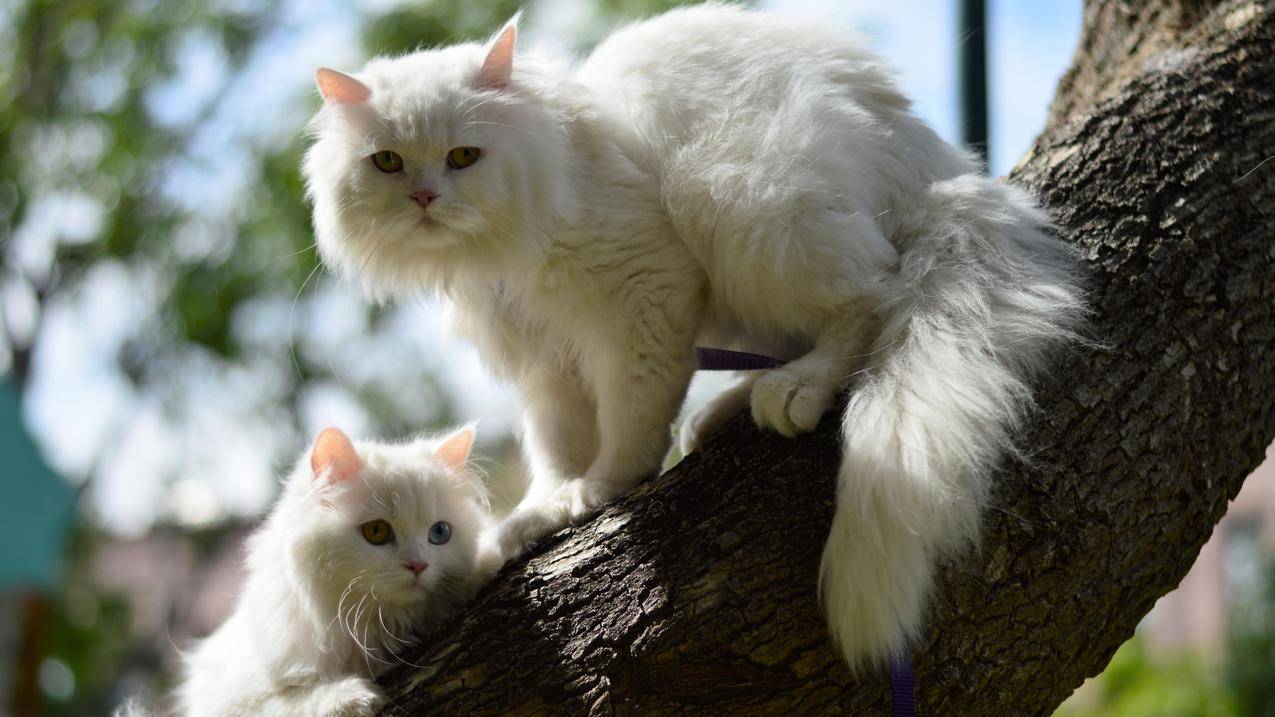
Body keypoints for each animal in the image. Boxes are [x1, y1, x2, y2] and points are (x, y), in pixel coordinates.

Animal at [118, 423, 497, 714]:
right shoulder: (228, 698)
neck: (375, 628)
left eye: (440, 533)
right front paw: (350, 699)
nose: (418, 564)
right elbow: (287, 704)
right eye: (376, 532)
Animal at [300, 4, 1086, 668]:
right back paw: (723, 414)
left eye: (463, 156)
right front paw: (542, 511)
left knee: (873, 300)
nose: (424, 198)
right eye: (387, 162)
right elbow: (555, 446)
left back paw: (790, 392)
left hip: (745, 201)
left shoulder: (642, 294)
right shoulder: (545, 362)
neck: (496, 253)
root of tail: (936, 168)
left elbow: (628, 421)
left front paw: (601, 490)